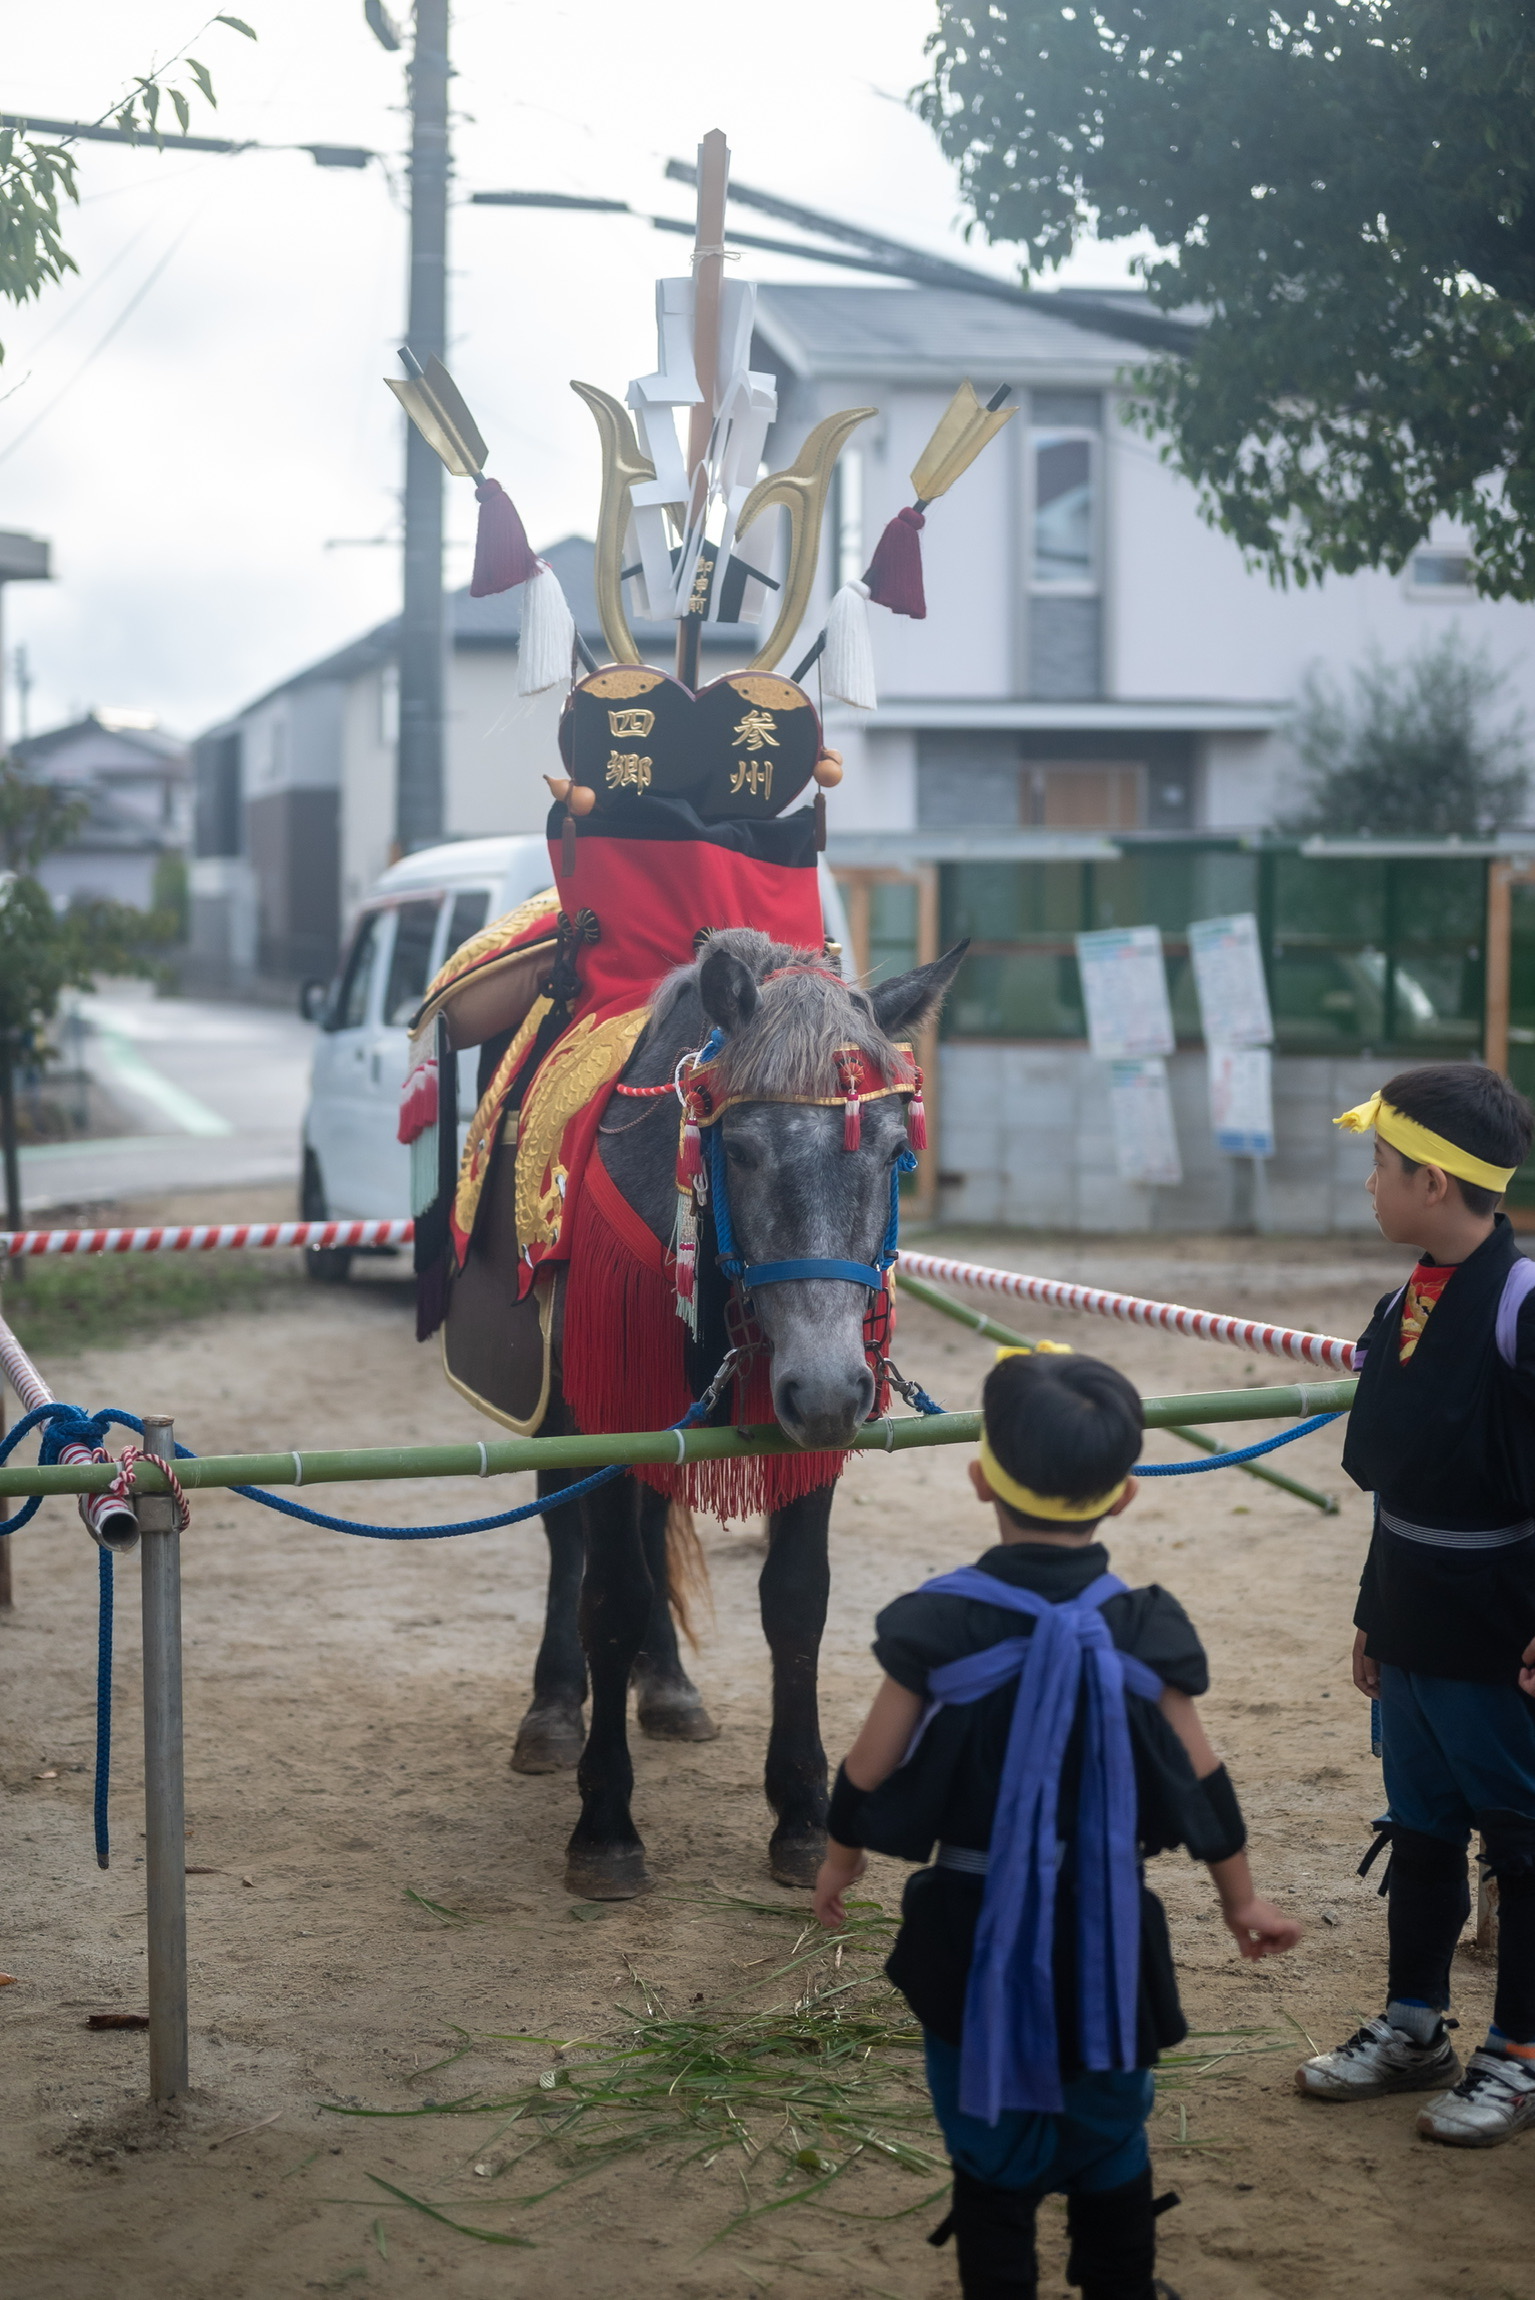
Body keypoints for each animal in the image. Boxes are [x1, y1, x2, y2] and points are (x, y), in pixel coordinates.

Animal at [471, 926, 963, 1900]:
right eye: (739, 1147)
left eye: (893, 1149)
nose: (828, 1389)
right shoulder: (607, 1411)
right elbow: (611, 1595)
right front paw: (606, 1828)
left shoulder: (800, 1434)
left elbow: (796, 1601)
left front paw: (803, 1812)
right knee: (569, 1536)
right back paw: (555, 1708)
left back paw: (667, 1688)